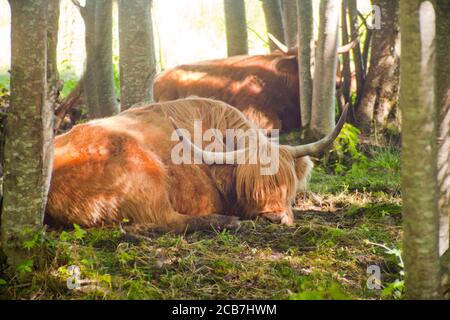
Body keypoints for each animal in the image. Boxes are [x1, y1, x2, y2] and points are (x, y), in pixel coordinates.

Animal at [46, 97, 348, 232]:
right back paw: (226, 221)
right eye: (248, 188)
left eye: (286, 185)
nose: (272, 218)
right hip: (145, 177)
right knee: (163, 220)